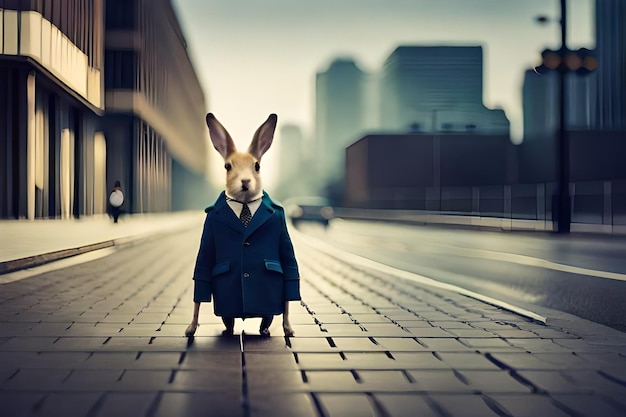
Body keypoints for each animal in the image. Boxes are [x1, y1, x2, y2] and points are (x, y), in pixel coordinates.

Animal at [185, 112, 300, 336]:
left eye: (257, 166)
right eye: (227, 166)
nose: (245, 182)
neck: (245, 203)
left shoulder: (282, 230)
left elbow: (289, 280)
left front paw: (289, 329)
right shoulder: (208, 231)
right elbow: (201, 275)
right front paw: (190, 329)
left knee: (270, 314)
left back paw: (264, 329)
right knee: (227, 317)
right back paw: (229, 329)